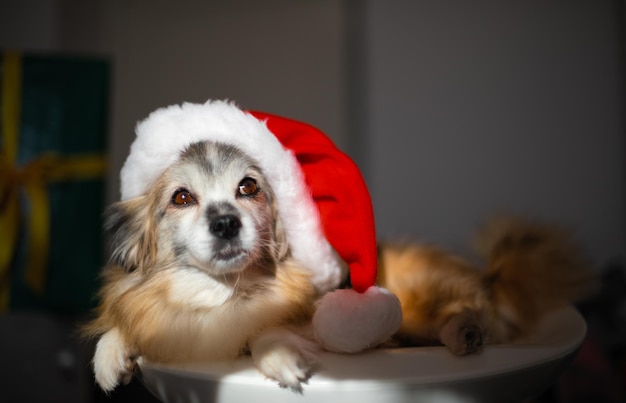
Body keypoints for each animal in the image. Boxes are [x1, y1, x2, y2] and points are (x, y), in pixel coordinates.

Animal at [83, 140, 320, 392]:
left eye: (248, 186)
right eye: (182, 197)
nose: (226, 224)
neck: (220, 293)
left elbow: (269, 324)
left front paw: (278, 352)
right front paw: (111, 348)